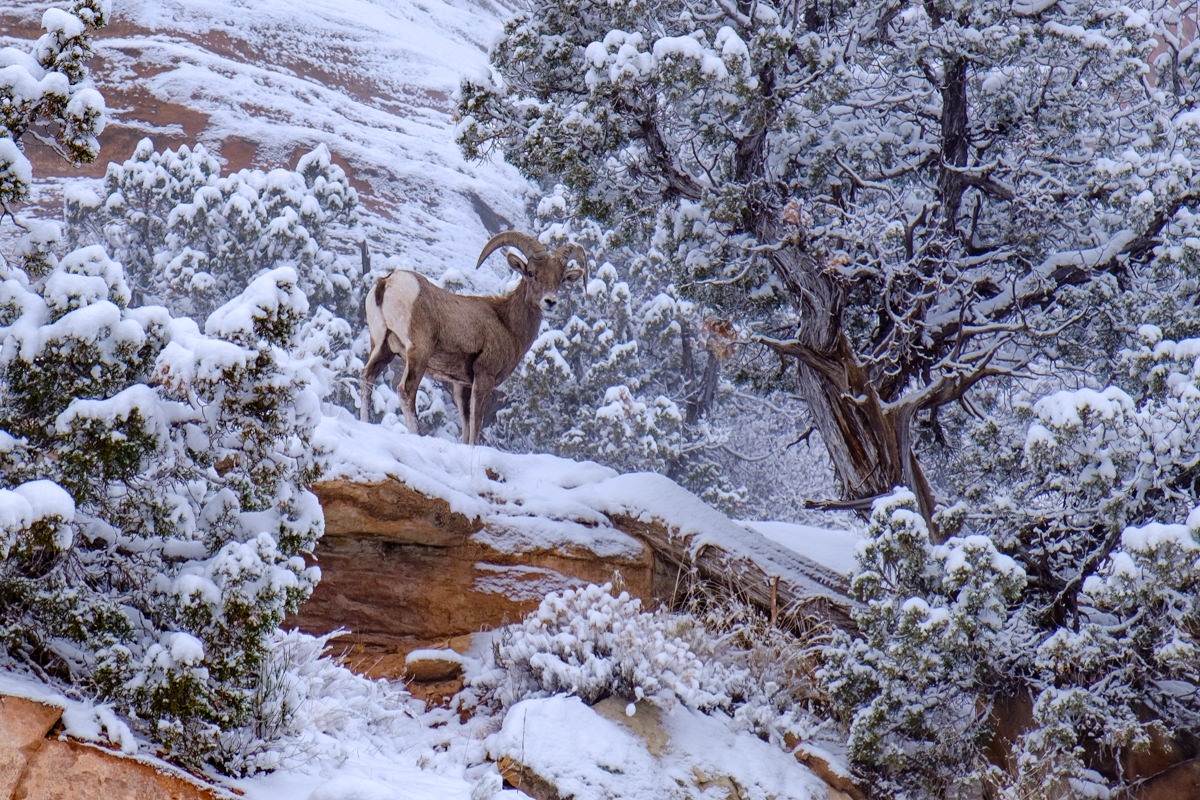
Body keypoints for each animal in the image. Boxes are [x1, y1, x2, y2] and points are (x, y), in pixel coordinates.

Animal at [359, 231, 587, 445]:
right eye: (531, 273)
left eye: (560, 279)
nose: (550, 301)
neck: (507, 324)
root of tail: (386, 283)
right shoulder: (484, 378)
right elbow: (476, 426)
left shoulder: (462, 385)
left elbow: (466, 426)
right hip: (418, 353)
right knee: (406, 392)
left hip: (382, 347)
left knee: (367, 377)